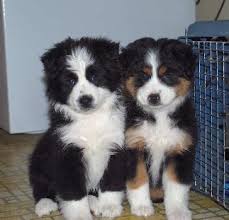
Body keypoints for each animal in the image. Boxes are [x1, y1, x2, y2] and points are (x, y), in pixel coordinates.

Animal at [28, 37, 127, 219]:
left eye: (94, 76)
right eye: (70, 81)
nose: (85, 99)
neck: (90, 119)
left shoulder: (116, 146)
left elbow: (111, 182)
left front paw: (109, 206)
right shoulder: (66, 153)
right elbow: (73, 193)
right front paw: (80, 215)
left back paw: (94, 201)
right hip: (39, 159)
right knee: (40, 185)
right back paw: (45, 204)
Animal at [121, 38, 198, 220]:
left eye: (167, 74)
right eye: (143, 75)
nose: (153, 97)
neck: (159, 115)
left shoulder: (180, 149)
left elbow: (176, 185)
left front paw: (178, 211)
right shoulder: (134, 146)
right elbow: (139, 179)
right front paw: (142, 207)